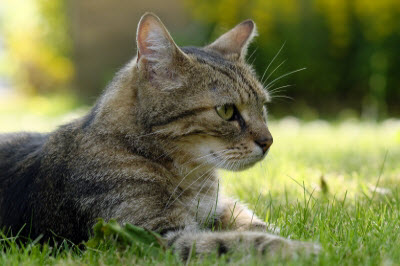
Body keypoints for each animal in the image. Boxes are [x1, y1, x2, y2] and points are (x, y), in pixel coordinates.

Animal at [0, 13, 318, 260]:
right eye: (227, 111)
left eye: (262, 107)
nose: (268, 141)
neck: (192, 177)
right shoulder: (152, 236)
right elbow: (241, 243)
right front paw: (305, 249)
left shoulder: (221, 208)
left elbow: (257, 225)